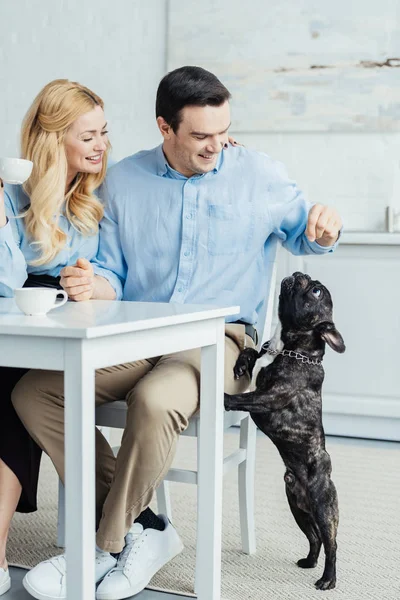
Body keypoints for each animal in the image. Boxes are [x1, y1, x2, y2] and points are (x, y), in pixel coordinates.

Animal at [223, 272, 346, 592]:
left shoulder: (269, 398)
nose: (301, 274)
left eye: (316, 291)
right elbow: (250, 350)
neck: (289, 347)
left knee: (331, 543)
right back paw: (309, 562)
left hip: (324, 509)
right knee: (314, 538)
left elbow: (242, 398)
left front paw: (224, 397)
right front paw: (241, 363)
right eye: (312, 284)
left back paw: (327, 579)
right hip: (297, 507)